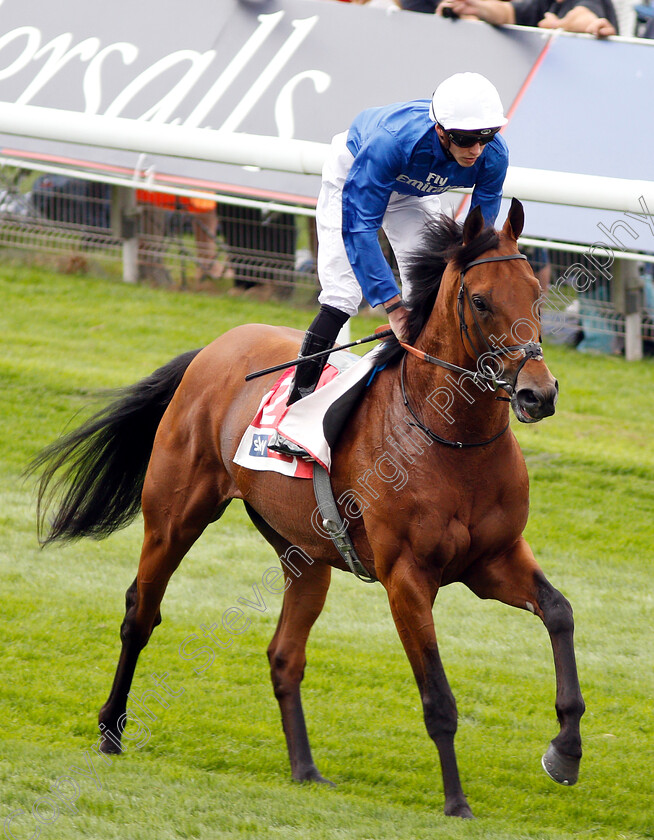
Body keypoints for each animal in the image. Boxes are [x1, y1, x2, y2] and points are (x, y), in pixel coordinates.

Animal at [32, 200, 584, 816]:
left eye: (536, 294)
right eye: (482, 300)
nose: (539, 392)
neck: (450, 439)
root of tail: (216, 346)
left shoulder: (493, 559)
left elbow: (559, 611)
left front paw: (566, 750)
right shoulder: (407, 577)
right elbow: (438, 697)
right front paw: (457, 802)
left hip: (305, 554)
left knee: (283, 654)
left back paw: (305, 768)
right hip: (174, 517)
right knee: (140, 613)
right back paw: (111, 729)